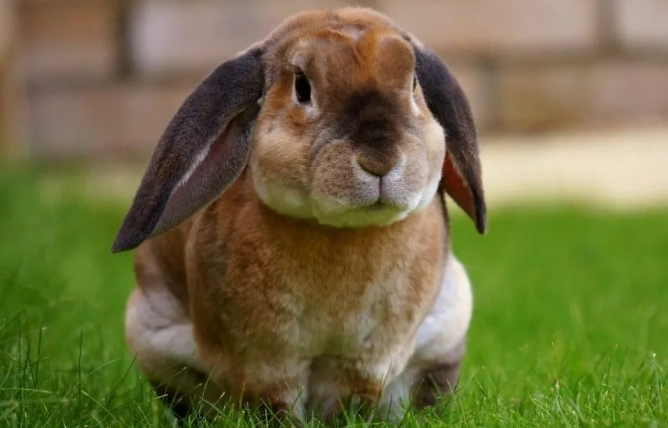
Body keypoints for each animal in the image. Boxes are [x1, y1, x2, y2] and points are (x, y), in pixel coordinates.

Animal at [113, 6, 486, 425]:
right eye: (302, 88)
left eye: (413, 86)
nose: (380, 159)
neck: (342, 231)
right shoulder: (265, 362)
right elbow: (274, 405)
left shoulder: (365, 360)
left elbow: (351, 401)